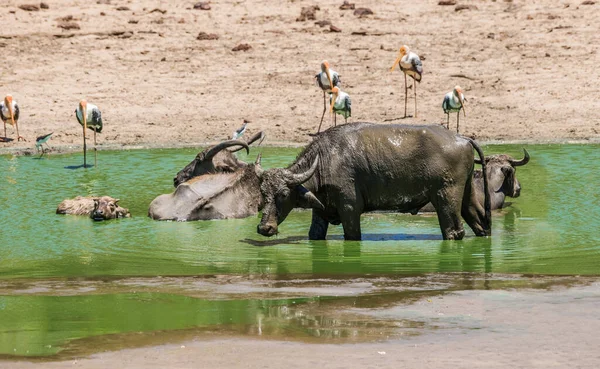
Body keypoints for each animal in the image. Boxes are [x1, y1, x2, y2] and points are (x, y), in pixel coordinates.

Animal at [255, 122, 490, 240]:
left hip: (446, 198)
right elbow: (314, 234)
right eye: (263, 193)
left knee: (454, 231)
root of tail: (462, 139)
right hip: (467, 193)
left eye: (284, 194)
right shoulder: (321, 212)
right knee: (480, 222)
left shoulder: (350, 211)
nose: (264, 227)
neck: (325, 160)